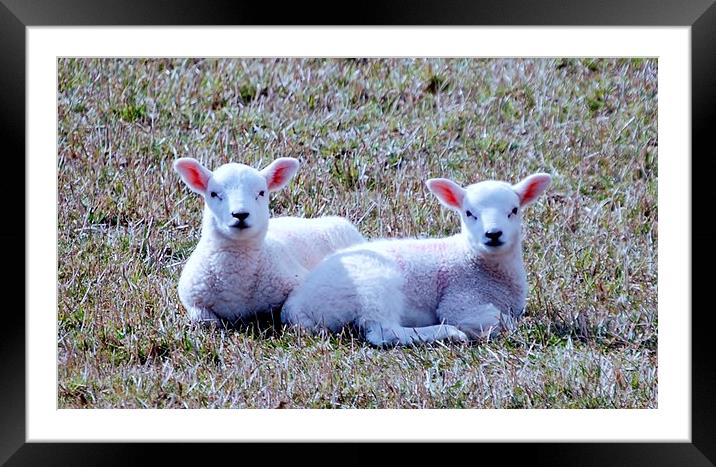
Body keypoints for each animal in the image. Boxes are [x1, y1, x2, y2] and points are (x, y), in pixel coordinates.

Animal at [172, 157, 364, 326]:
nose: (240, 214)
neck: (237, 285)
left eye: (261, 193)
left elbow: (289, 311)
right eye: (213, 194)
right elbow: (205, 321)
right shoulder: (192, 299)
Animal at [282, 173, 552, 348]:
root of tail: (296, 306)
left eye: (514, 210)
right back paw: (447, 333)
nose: (493, 234)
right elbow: (504, 322)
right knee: (383, 332)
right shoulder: (460, 301)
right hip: (373, 285)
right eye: (469, 213)